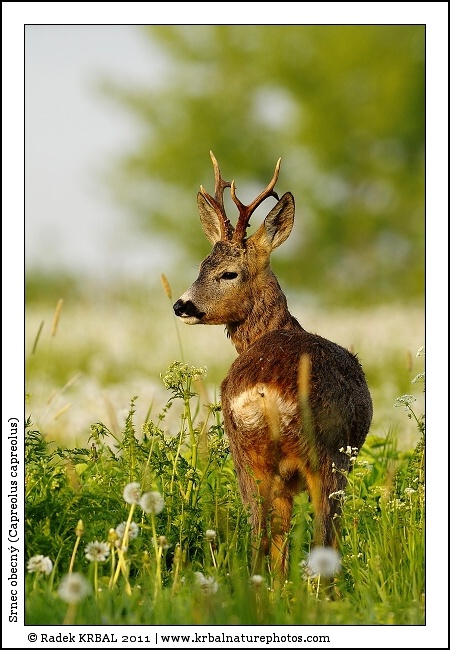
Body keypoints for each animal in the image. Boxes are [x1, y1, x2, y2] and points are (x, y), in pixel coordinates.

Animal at [173, 152, 373, 577]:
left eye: (226, 272)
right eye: (201, 267)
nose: (181, 305)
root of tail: (263, 391)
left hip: (245, 453)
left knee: (261, 533)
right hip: (327, 454)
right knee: (321, 534)